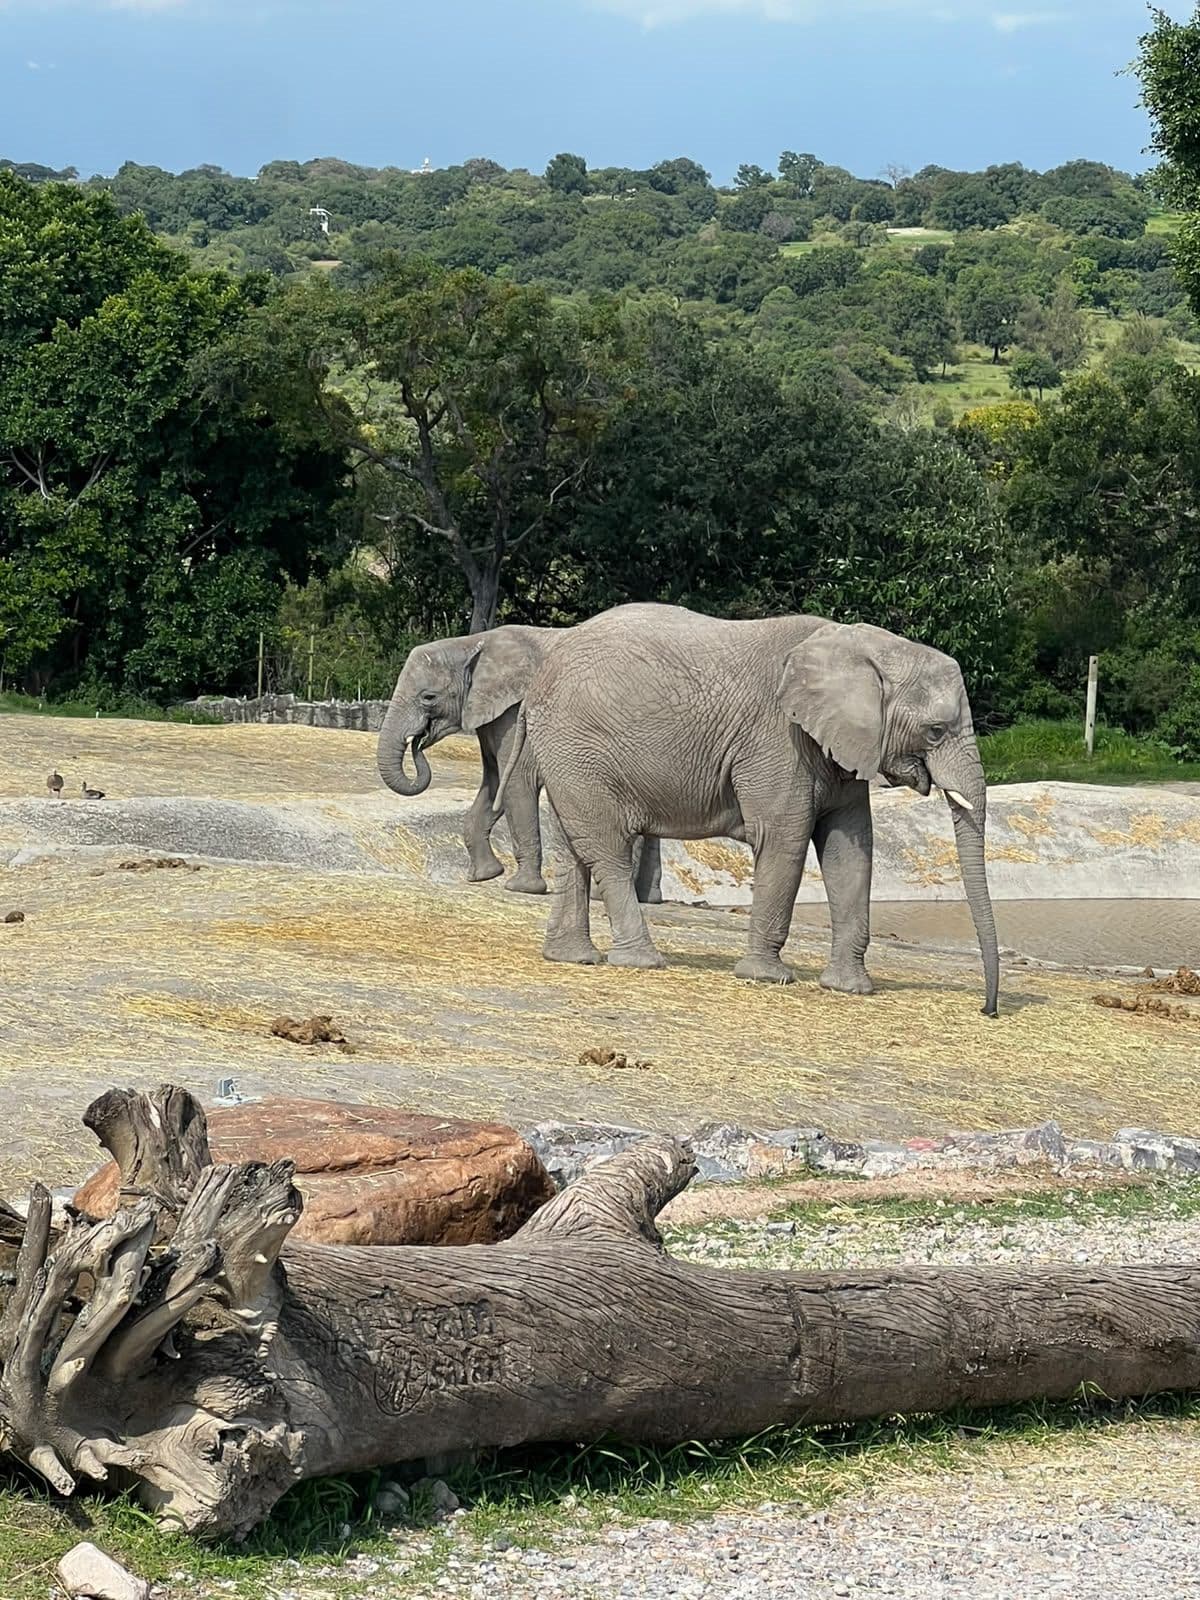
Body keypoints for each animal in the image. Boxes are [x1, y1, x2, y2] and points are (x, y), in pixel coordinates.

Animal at [377, 625, 662, 902]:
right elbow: (495, 783)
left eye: (428, 697)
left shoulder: (517, 711)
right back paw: (649, 898)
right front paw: (484, 875)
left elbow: (515, 781)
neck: (471, 643)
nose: (418, 741)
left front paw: (522, 888)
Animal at [507, 603, 999, 1015]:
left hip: (568, 756)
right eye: (936, 731)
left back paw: (574, 958)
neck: (862, 647)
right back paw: (641, 961)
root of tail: (536, 684)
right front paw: (767, 978)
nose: (987, 1009)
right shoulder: (778, 741)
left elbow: (849, 852)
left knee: (575, 849)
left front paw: (850, 989)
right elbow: (785, 840)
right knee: (607, 848)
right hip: (579, 749)